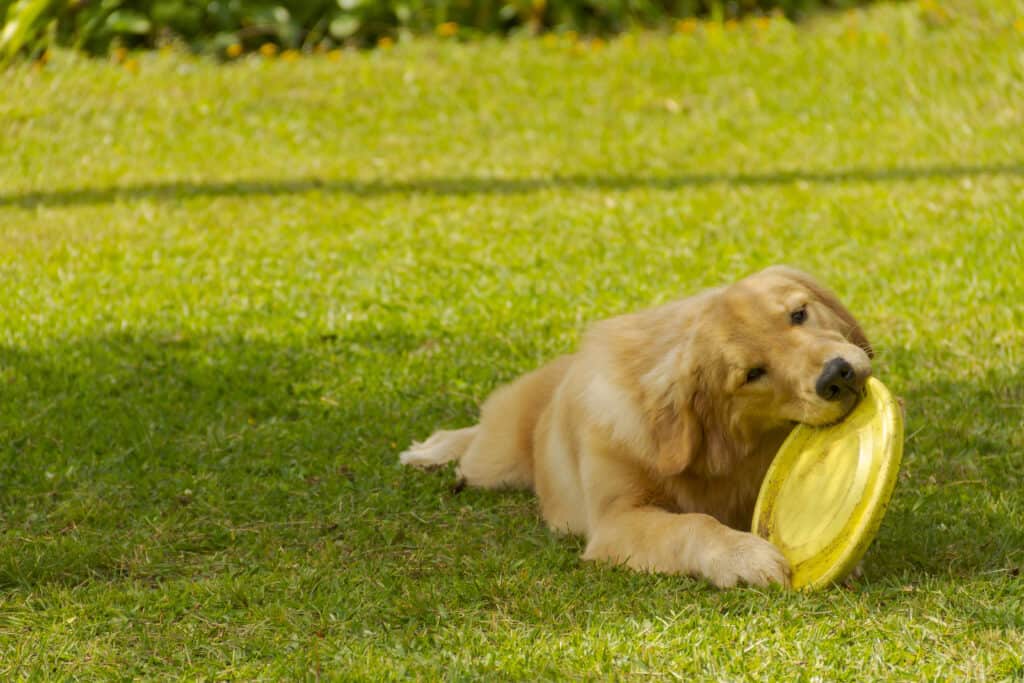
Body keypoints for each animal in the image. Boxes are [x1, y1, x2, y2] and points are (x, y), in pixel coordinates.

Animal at [399, 266, 872, 589]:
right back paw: (430, 449)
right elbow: (693, 523)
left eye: (799, 314)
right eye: (752, 374)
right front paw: (742, 556)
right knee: (475, 440)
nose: (836, 375)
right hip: (494, 461)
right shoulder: (617, 521)